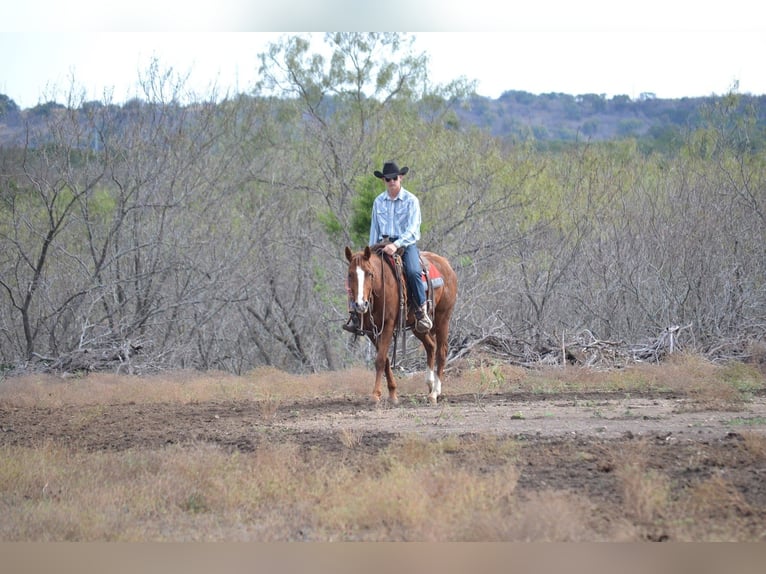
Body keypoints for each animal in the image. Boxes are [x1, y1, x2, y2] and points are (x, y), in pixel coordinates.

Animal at [344, 244, 458, 405]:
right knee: (431, 346)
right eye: (350, 275)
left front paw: (375, 395)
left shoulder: (388, 324)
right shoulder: (371, 331)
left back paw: (435, 393)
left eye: (369, 274)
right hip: (418, 326)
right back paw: (430, 384)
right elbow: (385, 359)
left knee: (441, 352)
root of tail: (446, 264)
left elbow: (380, 360)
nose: (360, 304)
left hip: (443, 318)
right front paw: (392, 393)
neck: (381, 286)